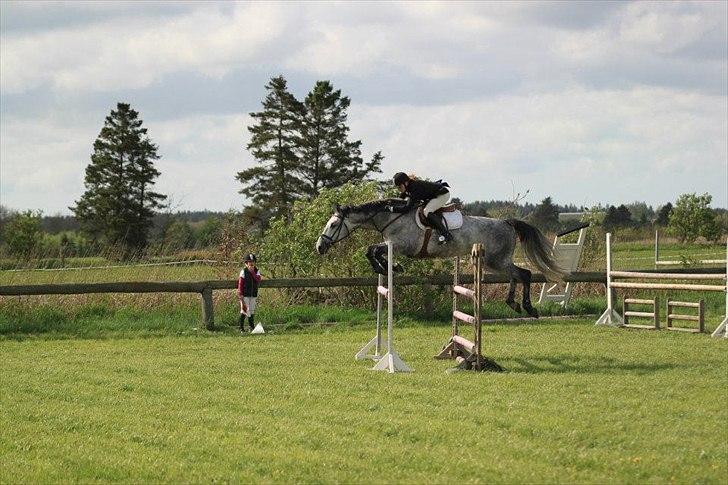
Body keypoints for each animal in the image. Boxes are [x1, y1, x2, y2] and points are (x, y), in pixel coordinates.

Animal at [314, 198, 564, 318]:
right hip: (493, 262)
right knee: (515, 275)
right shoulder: (393, 246)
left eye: (333, 224)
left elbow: (372, 250)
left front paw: (388, 267)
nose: (319, 247)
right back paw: (513, 303)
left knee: (525, 273)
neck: (391, 217)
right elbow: (373, 251)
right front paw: (389, 267)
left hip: (495, 260)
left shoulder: (402, 246)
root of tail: (506, 222)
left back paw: (529, 308)